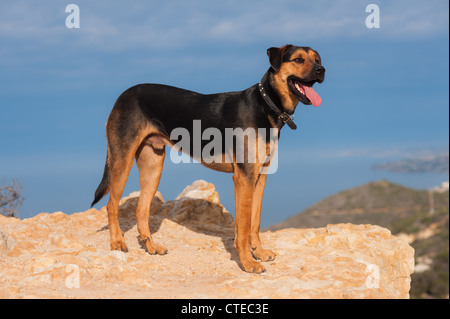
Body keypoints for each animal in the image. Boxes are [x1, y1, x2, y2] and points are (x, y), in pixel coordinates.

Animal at [90, 44, 324, 276]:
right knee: (111, 205)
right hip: (122, 160)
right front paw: (248, 262)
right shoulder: (244, 178)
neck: (267, 104)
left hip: (153, 164)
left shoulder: (260, 176)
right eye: (298, 59)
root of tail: (123, 95)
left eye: (317, 59)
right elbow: (243, 227)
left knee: (141, 209)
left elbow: (254, 222)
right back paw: (117, 242)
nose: (322, 70)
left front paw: (259, 252)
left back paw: (151, 246)